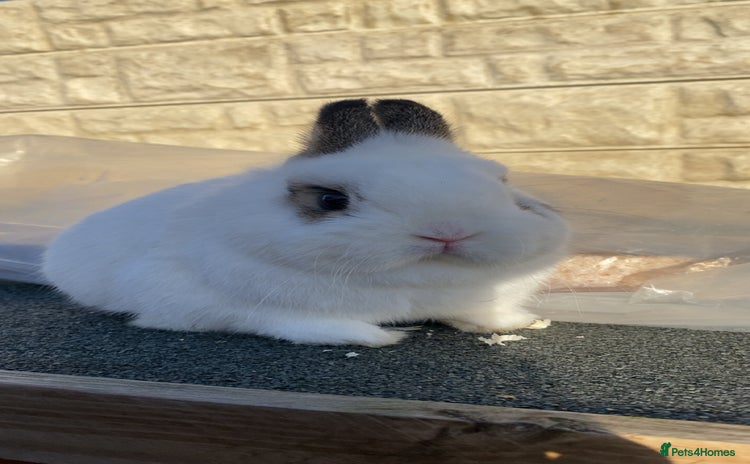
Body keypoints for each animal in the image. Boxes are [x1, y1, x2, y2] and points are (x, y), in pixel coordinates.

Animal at [42, 99, 569, 346]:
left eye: (503, 183)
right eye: (330, 199)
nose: (447, 231)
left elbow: (478, 312)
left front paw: (518, 321)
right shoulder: (234, 307)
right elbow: (305, 325)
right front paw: (377, 337)